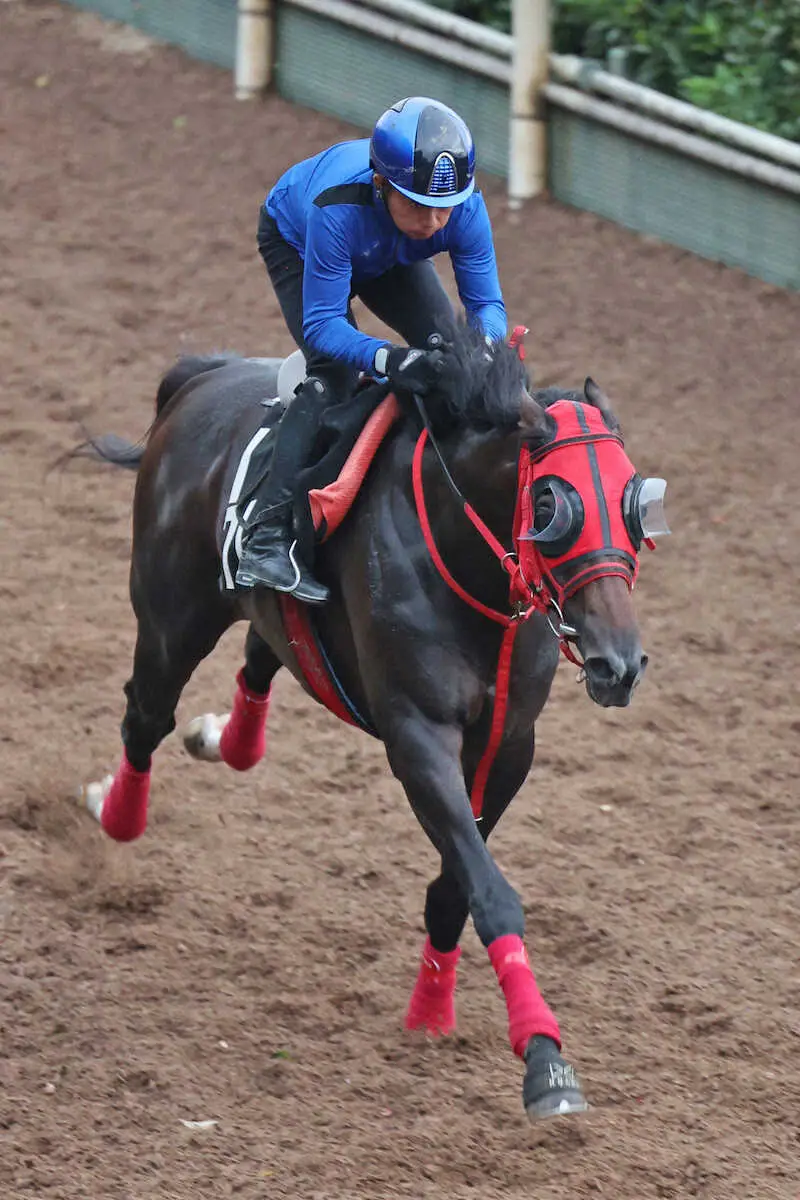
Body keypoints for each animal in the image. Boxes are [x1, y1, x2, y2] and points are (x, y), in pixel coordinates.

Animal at [79, 324, 671, 1118]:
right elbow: (491, 892)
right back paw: (115, 812)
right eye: (552, 503)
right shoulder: (416, 735)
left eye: (636, 499)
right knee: (145, 718)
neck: (465, 560)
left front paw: (432, 1010)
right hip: (172, 619)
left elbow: (457, 886)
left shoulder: (509, 745)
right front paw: (546, 1061)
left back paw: (223, 739)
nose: (619, 664)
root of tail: (202, 378)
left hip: (270, 620)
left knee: (259, 657)